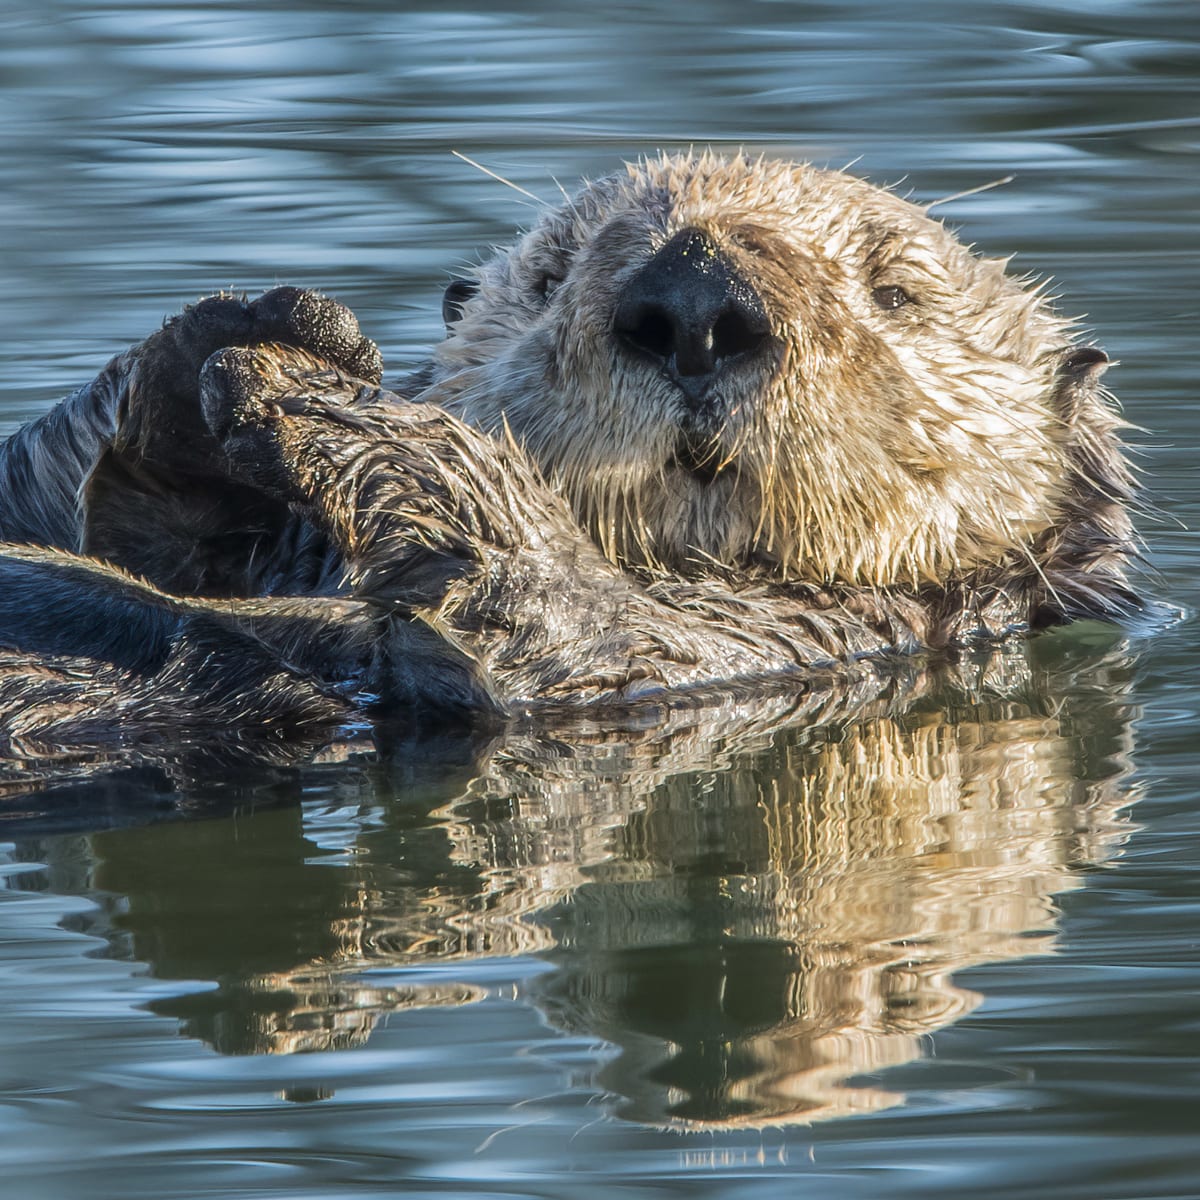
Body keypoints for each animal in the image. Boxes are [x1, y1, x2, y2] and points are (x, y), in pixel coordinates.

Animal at [0, 153, 1142, 769]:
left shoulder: (779, 646)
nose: (696, 300)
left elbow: (558, 636)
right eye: (550, 275)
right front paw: (249, 337)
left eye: (896, 292)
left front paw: (315, 405)